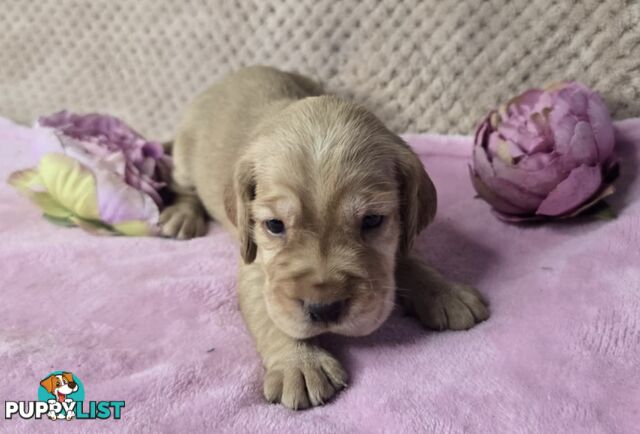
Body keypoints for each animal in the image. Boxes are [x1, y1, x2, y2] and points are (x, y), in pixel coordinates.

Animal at [161, 66, 490, 408]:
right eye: (275, 225)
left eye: (372, 220)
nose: (325, 310)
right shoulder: (254, 262)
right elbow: (270, 312)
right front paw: (299, 364)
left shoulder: (397, 238)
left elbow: (408, 259)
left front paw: (445, 291)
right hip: (185, 160)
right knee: (181, 185)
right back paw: (181, 216)